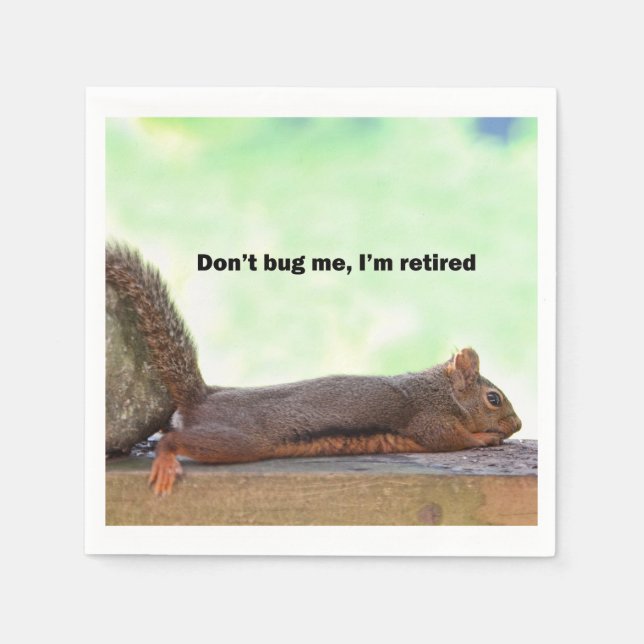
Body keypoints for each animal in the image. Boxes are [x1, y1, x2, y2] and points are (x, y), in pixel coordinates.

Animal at [106, 242, 522, 495]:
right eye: (494, 399)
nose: (517, 425)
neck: (439, 391)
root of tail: (201, 398)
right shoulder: (429, 419)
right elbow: (450, 439)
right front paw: (485, 438)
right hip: (238, 440)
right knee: (179, 441)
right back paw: (166, 456)